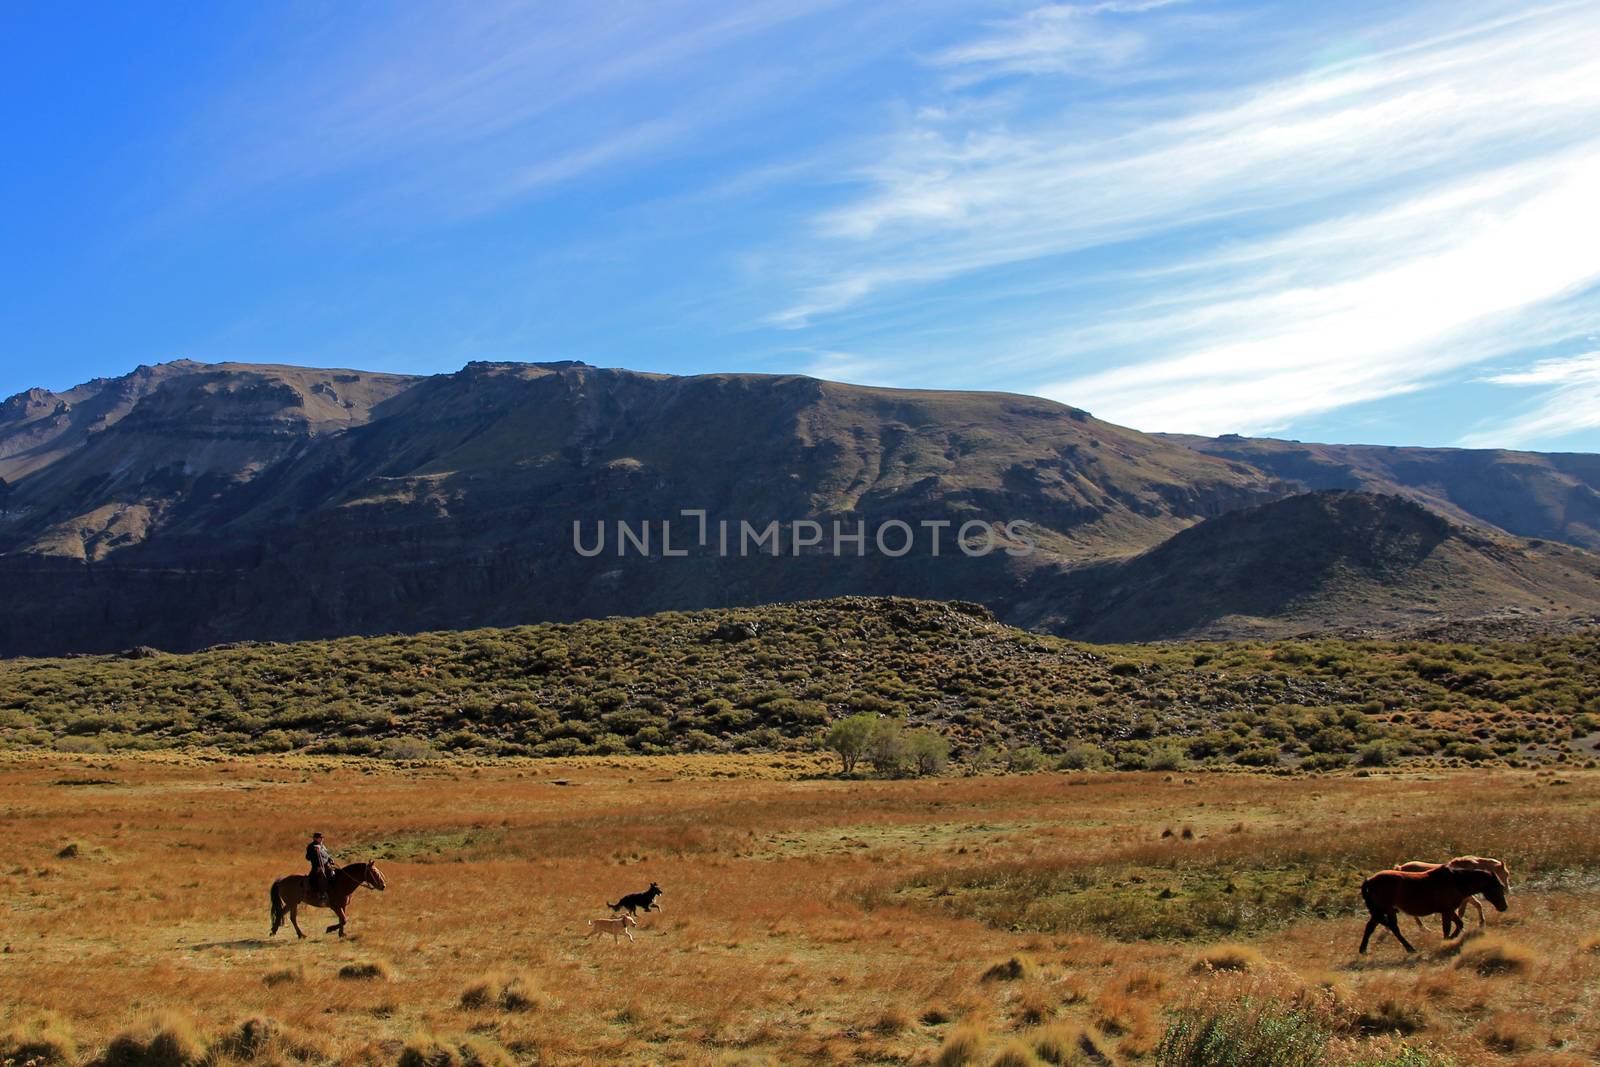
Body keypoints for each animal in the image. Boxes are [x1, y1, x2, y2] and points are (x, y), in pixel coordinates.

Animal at [1356, 863, 1504, 953]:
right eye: (1499, 887)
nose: (1504, 907)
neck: (1456, 881)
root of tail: (1370, 880)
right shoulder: (1447, 911)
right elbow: (1447, 928)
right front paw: (1446, 942)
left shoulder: (1449, 910)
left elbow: (1459, 924)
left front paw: (1450, 940)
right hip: (1386, 909)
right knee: (1393, 928)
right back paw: (1410, 948)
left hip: (1381, 911)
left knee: (1371, 927)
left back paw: (1363, 950)